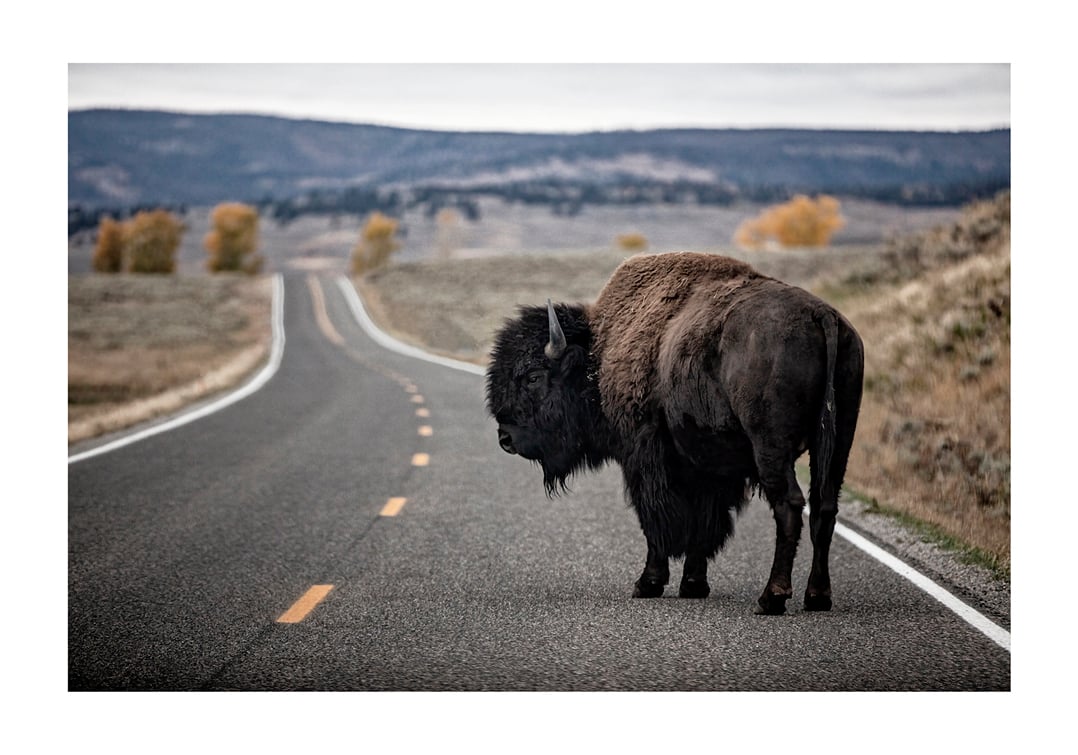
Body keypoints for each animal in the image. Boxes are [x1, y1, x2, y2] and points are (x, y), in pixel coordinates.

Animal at [485, 250, 862, 616]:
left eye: (533, 376)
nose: (505, 438)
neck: (598, 355)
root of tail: (821, 315)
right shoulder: (707, 465)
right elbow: (705, 522)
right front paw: (693, 584)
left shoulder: (644, 456)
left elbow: (656, 516)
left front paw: (648, 583)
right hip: (840, 442)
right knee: (825, 506)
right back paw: (817, 596)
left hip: (771, 448)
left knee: (789, 506)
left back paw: (772, 598)